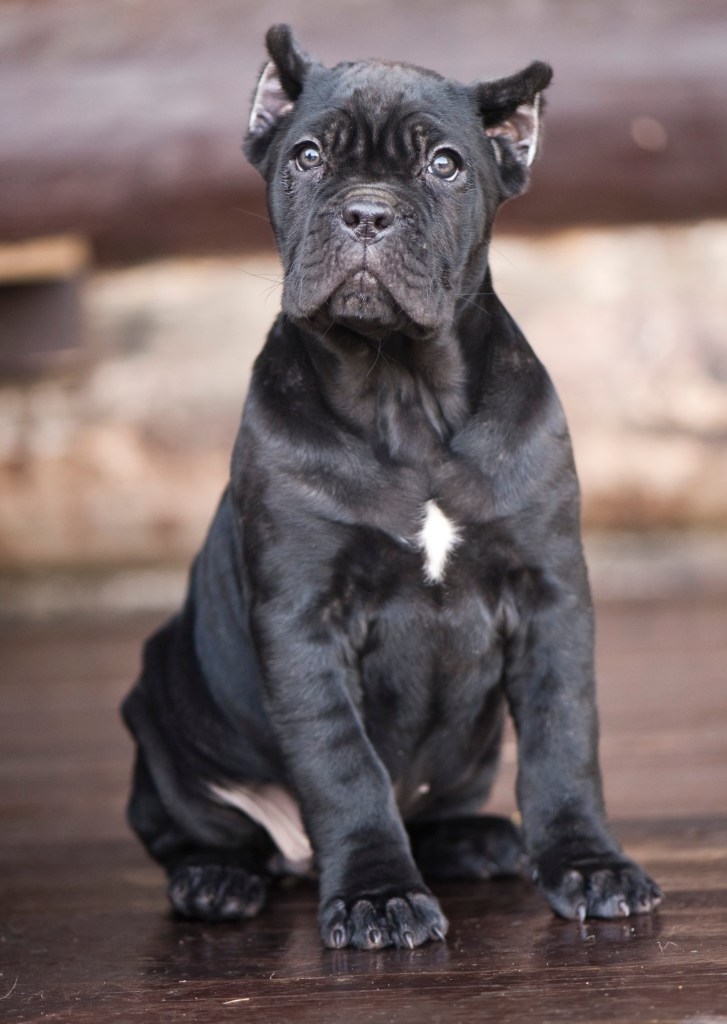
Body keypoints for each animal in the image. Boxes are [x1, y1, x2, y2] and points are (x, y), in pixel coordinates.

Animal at [120, 24, 667, 950]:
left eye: (444, 165)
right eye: (306, 157)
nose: (367, 212)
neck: (401, 392)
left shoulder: (550, 592)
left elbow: (563, 737)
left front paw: (586, 864)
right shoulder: (303, 617)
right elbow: (344, 766)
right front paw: (377, 894)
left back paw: (477, 840)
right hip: (159, 700)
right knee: (188, 830)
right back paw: (216, 879)